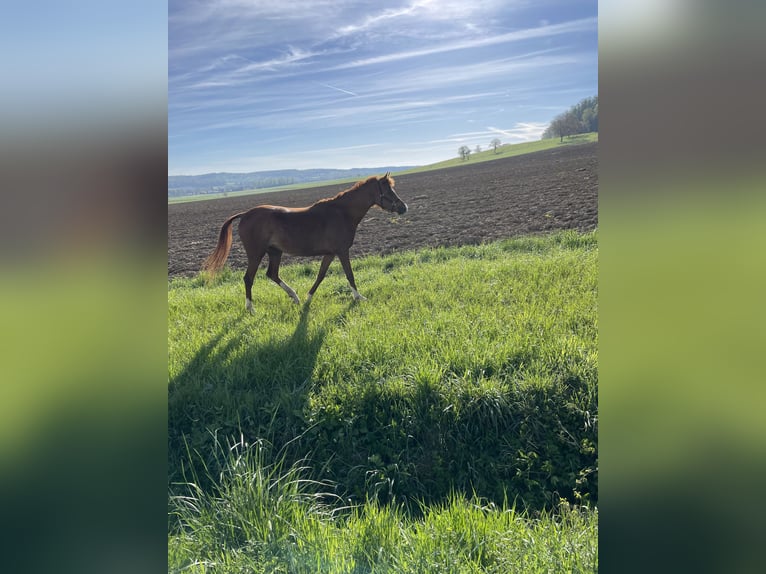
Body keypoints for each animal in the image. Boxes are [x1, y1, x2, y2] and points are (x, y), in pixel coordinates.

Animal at [202, 172, 408, 316]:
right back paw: (251, 309)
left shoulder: (330, 253)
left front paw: (308, 298)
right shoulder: (342, 251)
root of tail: (245, 214)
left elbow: (321, 275)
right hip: (256, 254)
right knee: (248, 278)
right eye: (388, 191)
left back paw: (295, 297)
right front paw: (359, 297)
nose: (403, 207)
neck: (342, 213)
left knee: (272, 274)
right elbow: (349, 274)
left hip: (275, 252)